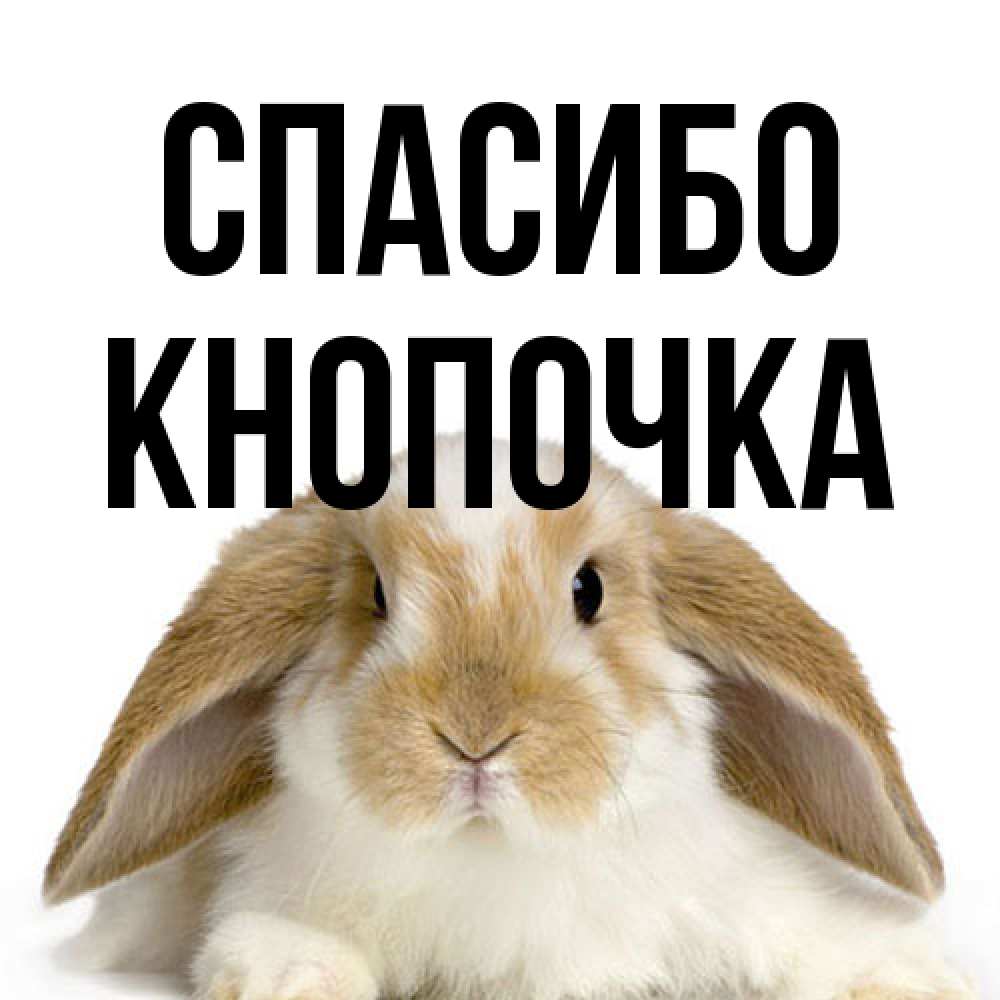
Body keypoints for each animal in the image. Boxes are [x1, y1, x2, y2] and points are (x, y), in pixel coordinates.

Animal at [46, 437, 975, 1000]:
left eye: (589, 589)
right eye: (375, 596)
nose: (475, 737)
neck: (494, 857)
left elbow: (817, 939)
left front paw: (909, 977)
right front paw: (290, 977)